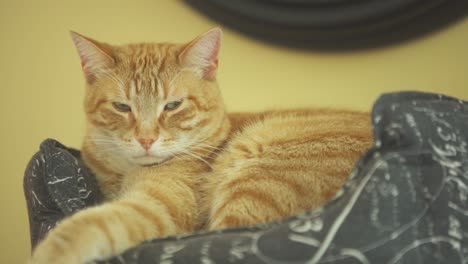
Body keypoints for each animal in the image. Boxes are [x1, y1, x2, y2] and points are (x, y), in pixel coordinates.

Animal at [29, 28, 372, 264]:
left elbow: (89, 224)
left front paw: (49, 253)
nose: (146, 139)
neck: (124, 172)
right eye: (122, 107)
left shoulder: (160, 207)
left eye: (173, 105)